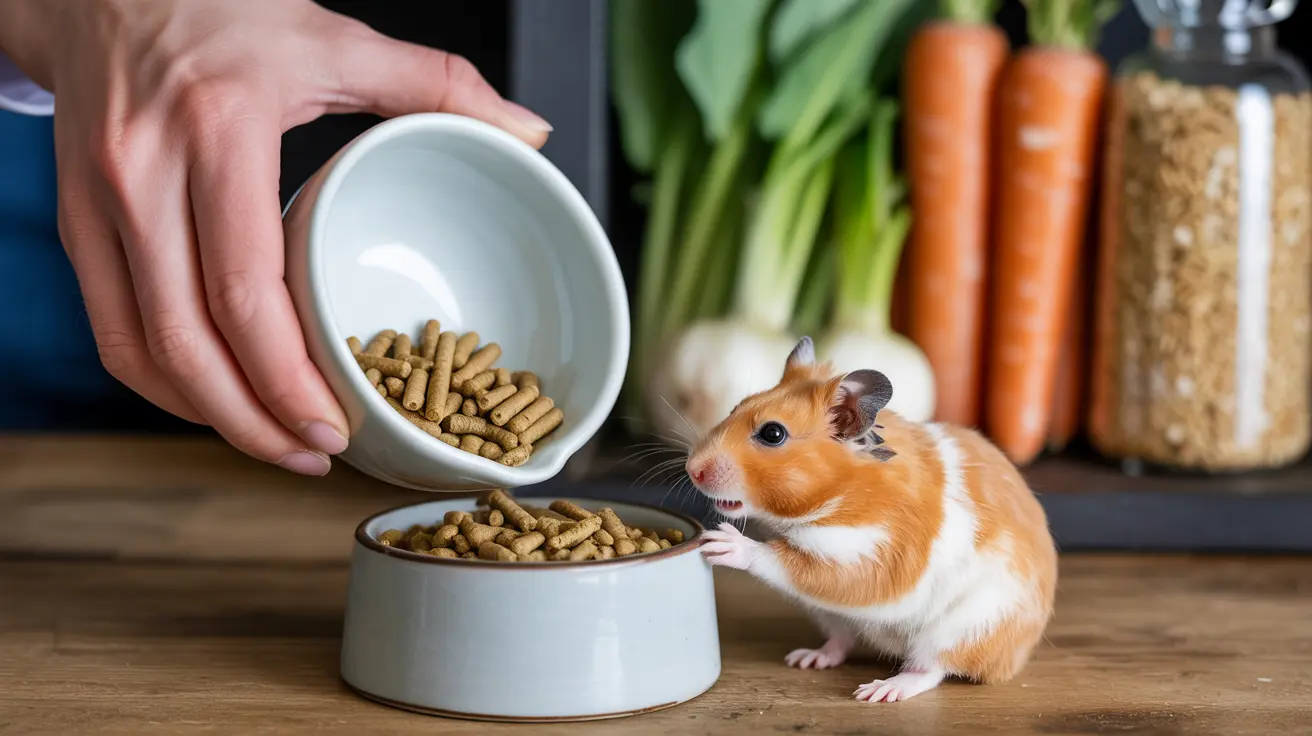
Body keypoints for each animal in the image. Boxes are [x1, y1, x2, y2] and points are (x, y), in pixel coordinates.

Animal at [686, 336, 1057, 703]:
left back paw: (881, 690)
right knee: (842, 641)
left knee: (931, 670)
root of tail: (1013, 660)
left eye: (773, 434)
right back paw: (807, 658)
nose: (692, 469)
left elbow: (782, 559)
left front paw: (720, 542)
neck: (836, 494)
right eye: (735, 407)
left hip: (962, 627)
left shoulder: (868, 555)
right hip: (830, 615)